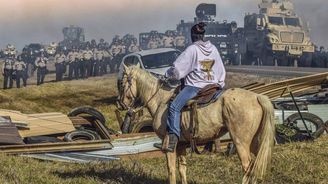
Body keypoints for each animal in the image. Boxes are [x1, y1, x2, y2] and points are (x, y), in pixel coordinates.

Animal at [116, 63, 276, 184]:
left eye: (122, 83)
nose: (120, 103)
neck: (161, 100)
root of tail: (257, 97)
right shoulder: (180, 144)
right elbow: (182, 169)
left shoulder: (169, 145)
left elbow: (171, 170)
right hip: (255, 142)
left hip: (240, 142)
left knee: (247, 168)